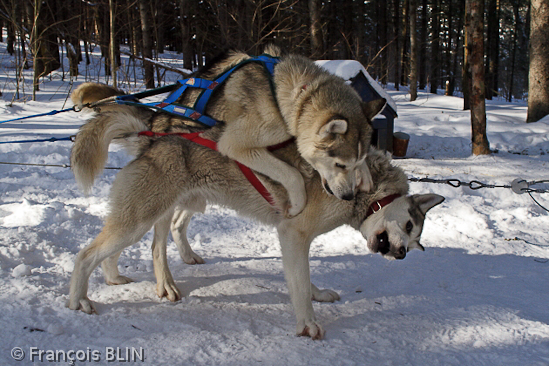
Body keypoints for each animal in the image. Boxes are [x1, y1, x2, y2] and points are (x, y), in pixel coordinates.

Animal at [67, 101, 446, 340]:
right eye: (409, 227)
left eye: (417, 243)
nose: (402, 254)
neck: (363, 189)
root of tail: (152, 138)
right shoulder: (293, 235)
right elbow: (299, 289)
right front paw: (308, 325)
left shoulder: (299, 243)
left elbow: (306, 282)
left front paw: (318, 294)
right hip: (139, 219)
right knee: (87, 254)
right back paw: (79, 301)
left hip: (156, 213)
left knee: (139, 245)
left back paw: (119, 277)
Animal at [69, 45, 386, 217]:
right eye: (338, 164)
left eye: (351, 163)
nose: (348, 197)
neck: (296, 95)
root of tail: (156, 122)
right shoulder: (236, 144)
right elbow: (291, 174)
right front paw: (297, 203)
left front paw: (365, 174)